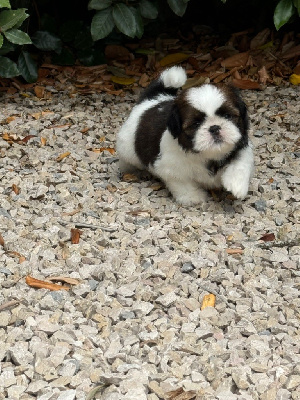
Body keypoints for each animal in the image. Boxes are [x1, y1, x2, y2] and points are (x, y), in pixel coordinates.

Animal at [116, 66, 254, 205]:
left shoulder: (242, 145)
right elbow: (182, 183)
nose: (214, 128)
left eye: (227, 115)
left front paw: (236, 184)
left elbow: (241, 161)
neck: (208, 154)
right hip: (128, 148)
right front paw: (193, 197)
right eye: (196, 124)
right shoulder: (171, 168)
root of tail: (152, 100)